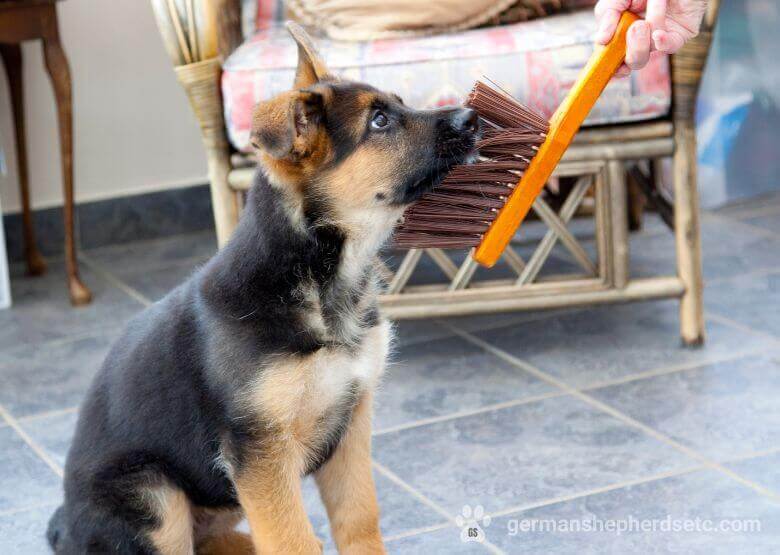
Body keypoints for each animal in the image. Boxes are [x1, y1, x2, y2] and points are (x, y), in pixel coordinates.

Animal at [47, 22, 476, 555]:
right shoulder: (260, 453)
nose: (473, 117)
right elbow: (294, 540)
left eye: (399, 104)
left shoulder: (352, 425)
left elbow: (359, 521)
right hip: (153, 494)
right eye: (379, 122)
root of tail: (65, 528)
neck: (320, 281)